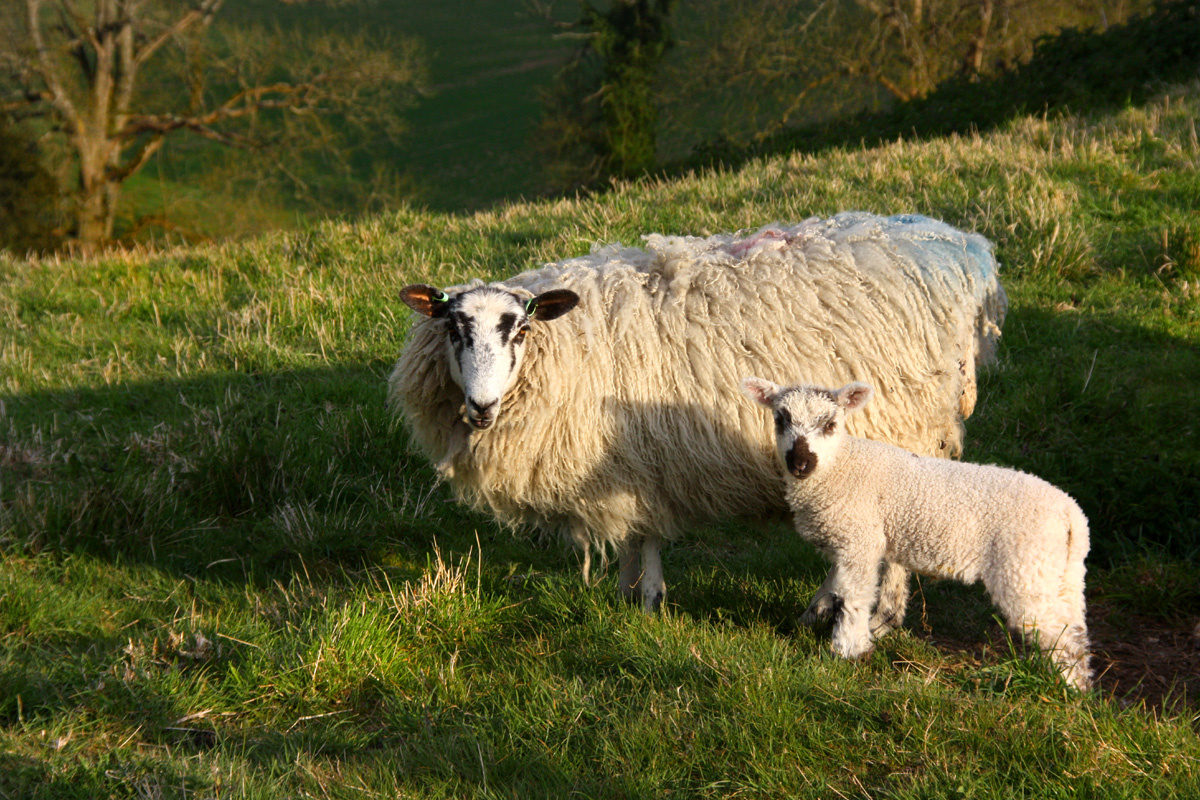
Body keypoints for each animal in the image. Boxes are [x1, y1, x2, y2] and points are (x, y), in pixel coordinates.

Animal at [391, 209, 1003, 618]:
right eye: (454, 330)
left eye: (517, 330)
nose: (481, 407)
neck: (569, 347)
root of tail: (961, 247)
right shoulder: (632, 462)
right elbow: (635, 537)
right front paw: (627, 593)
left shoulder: (635, 460)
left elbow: (644, 534)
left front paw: (647, 600)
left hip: (903, 426)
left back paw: (872, 612)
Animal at [734, 379, 1094, 690]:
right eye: (780, 419)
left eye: (830, 424)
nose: (800, 462)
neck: (840, 466)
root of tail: (1071, 513)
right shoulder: (850, 541)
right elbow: (833, 587)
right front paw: (810, 619)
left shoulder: (860, 539)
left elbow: (853, 596)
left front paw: (847, 650)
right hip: (1059, 572)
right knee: (1074, 627)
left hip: (1024, 567)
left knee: (1058, 633)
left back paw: (1068, 693)